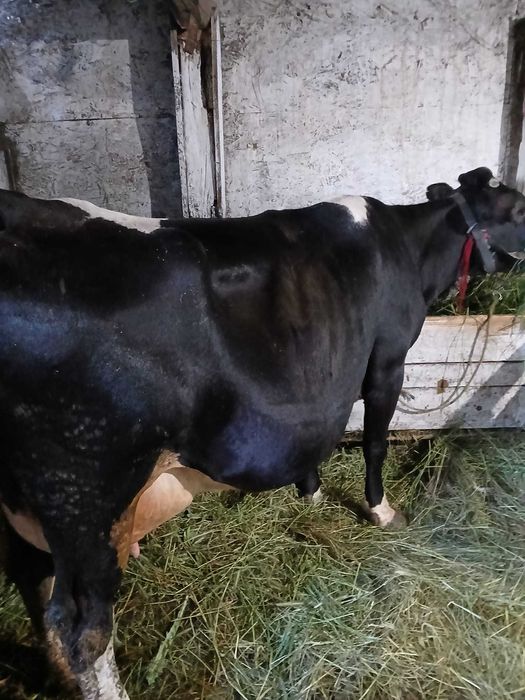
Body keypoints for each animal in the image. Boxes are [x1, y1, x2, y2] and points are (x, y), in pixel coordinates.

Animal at [0, 166, 524, 699]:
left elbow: (317, 438)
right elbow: (374, 444)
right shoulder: (387, 362)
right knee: (82, 630)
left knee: (32, 581)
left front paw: (310, 493)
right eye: (521, 208)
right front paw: (381, 511)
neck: (409, 248)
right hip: (85, 494)